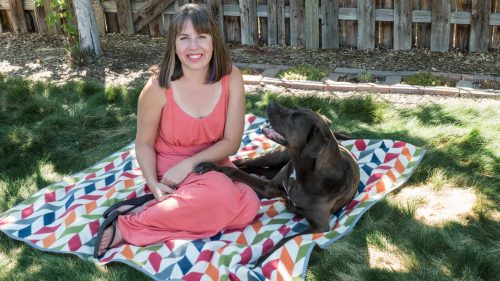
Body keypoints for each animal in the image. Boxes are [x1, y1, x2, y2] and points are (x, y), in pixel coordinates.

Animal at [194, 101, 360, 264]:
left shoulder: (320, 225)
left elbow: (286, 239)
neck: (302, 172)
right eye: (294, 108)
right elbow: (236, 172)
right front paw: (212, 166)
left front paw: (263, 257)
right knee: (245, 162)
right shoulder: (270, 186)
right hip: (274, 156)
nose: (271, 103)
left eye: (294, 118)